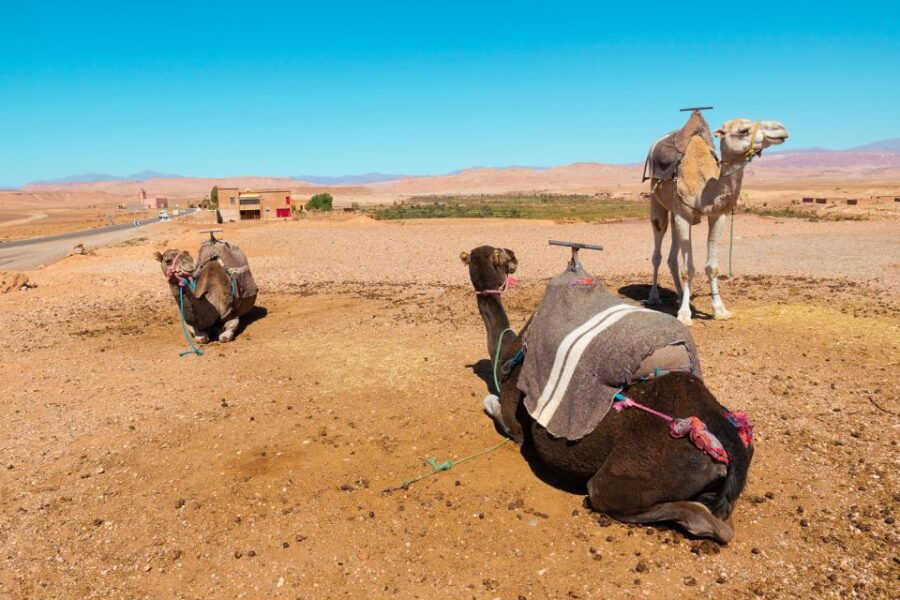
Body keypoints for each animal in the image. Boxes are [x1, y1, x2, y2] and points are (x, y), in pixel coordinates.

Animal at [460, 245, 753, 543]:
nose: (513, 256)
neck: (507, 349)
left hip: (634, 474)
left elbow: (497, 409)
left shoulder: (515, 405)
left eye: (499, 255)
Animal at [646, 115, 789, 325]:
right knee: (658, 248)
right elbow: (688, 269)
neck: (704, 190)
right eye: (743, 131)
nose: (781, 128)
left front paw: (719, 309)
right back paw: (654, 297)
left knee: (672, 256)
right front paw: (684, 315)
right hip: (657, 202)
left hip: (674, 212)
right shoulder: (684, 215)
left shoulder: (716, 216)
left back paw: (680, 295)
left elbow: (712, 267)